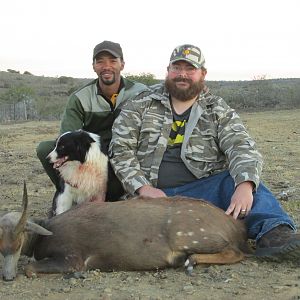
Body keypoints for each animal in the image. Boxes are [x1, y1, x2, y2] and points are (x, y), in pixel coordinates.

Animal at [0, 183, 250, 282]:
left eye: (19, 238)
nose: (7, 276)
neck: (47, 231)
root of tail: (235, 225)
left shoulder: (72, 257)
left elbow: (31, 268)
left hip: (193, 237)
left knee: (237, 253)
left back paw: (190, 261)